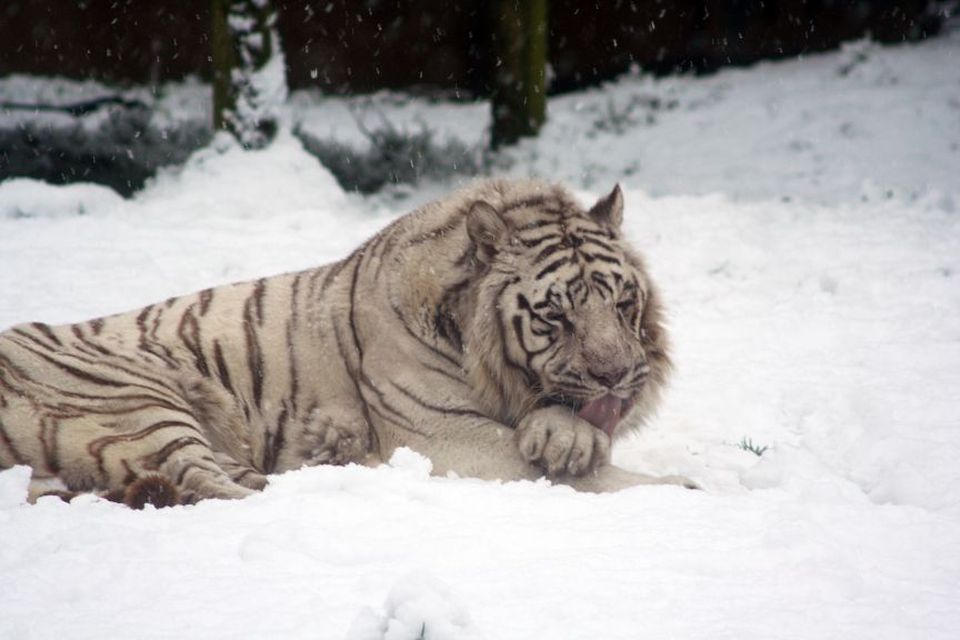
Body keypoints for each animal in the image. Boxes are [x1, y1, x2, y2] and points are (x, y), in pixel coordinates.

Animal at [0, 178, 692, 508]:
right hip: (137, 397)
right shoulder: (445, 437)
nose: (618, 378)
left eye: (622, 304)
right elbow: (586, 477)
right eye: (556, 316)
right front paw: (679, 489)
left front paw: (567, 437)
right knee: (201, 482)